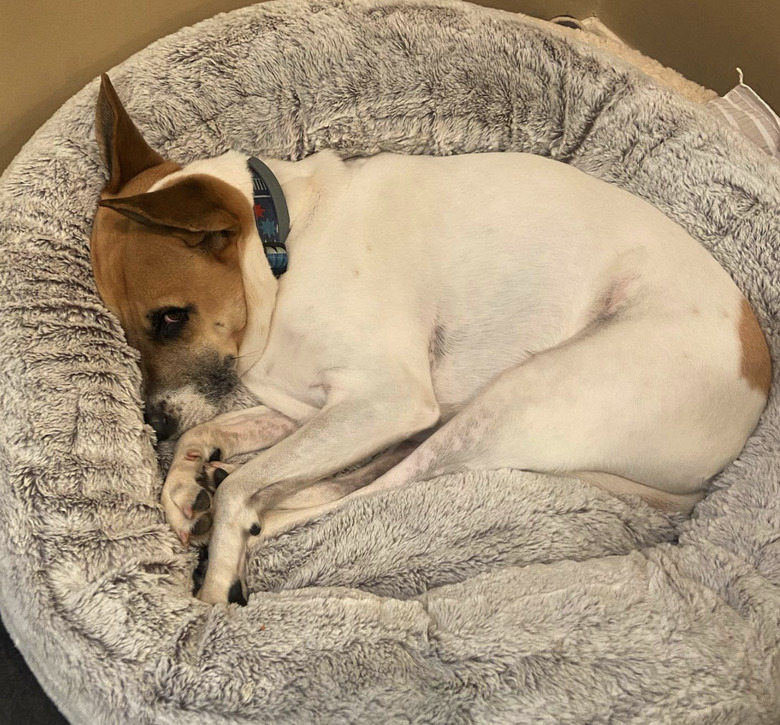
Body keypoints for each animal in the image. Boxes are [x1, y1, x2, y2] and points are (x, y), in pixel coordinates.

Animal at [90, 75, 768, 604]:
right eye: (124, 328)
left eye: (170, 318)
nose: (154, 424)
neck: (285, 241)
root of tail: (757, 388)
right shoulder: (322, 407)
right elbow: (217, 434)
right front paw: (185, 482)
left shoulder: (384, 399)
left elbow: (242, 489)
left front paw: (215, 580)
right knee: (366, 474)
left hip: (522, 393)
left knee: (378, 484)